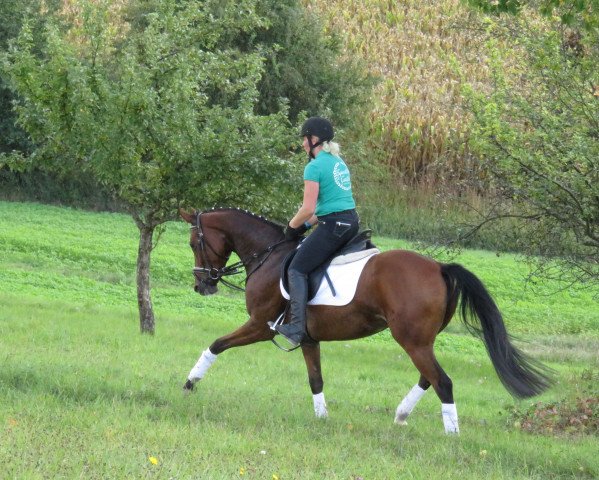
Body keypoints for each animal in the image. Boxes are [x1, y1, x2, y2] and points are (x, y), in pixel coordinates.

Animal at [178, 208, 552, 434]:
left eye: (194, 242)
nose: (202, 285)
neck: (268, 255)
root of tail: (439, 267)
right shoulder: (308, 338)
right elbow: (316, 380)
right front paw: (322, 419)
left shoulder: (260, 325)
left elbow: (216, 345)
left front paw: (190, 383)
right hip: (422, 341)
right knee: (429, 378)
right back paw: (401, 415)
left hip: (411, 340)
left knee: (442, 382)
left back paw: (452, 436)